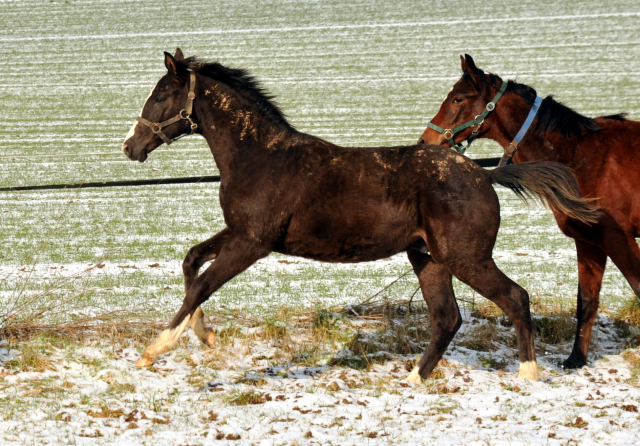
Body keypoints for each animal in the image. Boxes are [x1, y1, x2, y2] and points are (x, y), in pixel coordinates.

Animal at [121, 50, 600, 382]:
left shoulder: (252, 242)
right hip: (428, 258)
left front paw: (154, 349)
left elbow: (203, 283)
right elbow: (191, 261)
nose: (130, 146)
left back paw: (528, 375)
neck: (259, 156)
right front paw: (205, 335)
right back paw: (413, 380)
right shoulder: (240, 232)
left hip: (466, 258)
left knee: (515, 298)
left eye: (161, 96)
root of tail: (485, 173)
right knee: (447, 318)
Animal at [420, 54, 640, 370]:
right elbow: (586, 302)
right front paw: (576, 359)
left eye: (458, 98)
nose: (425, 142)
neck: (583, 156)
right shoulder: (589, 241)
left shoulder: (618, 238)